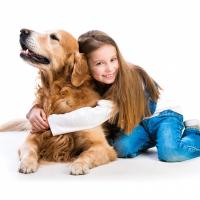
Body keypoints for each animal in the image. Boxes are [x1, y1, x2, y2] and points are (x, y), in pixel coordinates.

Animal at [0, 29, 116, 175]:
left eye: (54, 37)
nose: (23, 31)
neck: (58, 93)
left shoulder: (102, 145)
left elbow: (87, 154)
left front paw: (78, 164)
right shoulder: (32, 136)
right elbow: (29, 150)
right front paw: (27, 163)